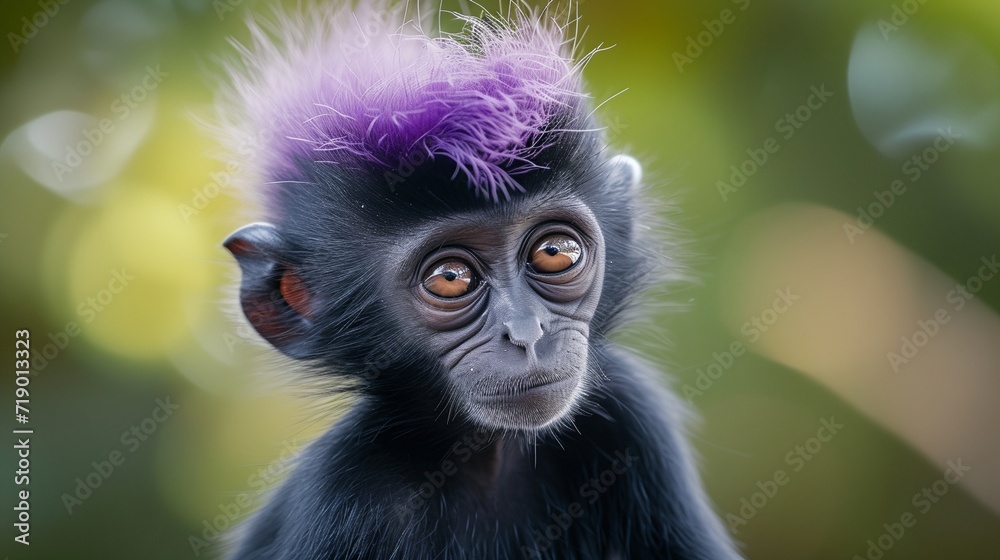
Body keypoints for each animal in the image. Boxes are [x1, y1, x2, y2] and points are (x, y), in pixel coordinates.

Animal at [216, 2, 743, 559]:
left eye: (555, 252)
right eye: (451, 277)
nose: (528, 335)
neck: (488, 453)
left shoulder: (632, 417)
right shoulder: (345, 492)